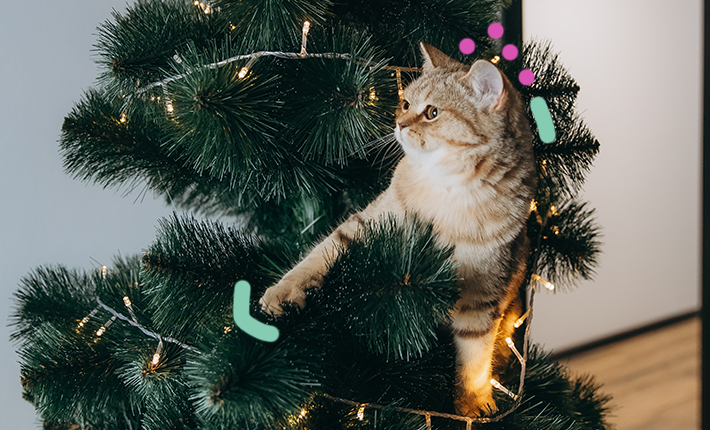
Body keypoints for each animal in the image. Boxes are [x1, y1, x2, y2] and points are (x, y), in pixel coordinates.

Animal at [262, 43, 540, 416]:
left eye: (432, 112)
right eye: (406, 103)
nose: (399, 123)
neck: (447, 190)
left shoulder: (483, 291)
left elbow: (475, 354)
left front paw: (473, 399)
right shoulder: (369, 223)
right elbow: (320, 254)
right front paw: (284, 290)